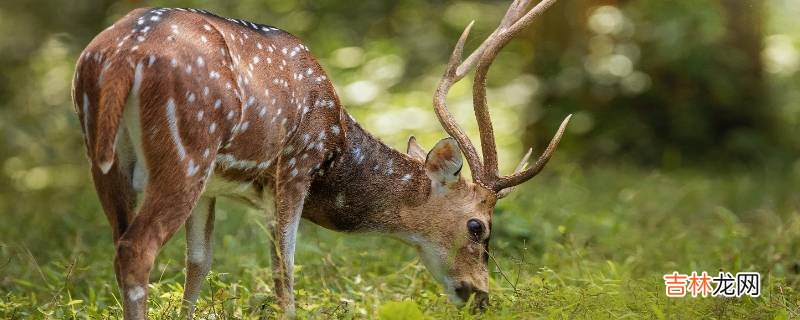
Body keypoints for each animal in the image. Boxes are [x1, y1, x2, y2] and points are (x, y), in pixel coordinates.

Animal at [70, 0, 568, 316]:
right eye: (477, 226)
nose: (482, 296)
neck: (337, 143)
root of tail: (120, 55)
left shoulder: (214, 186)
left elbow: (199, 263)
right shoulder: (294, 164)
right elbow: (284, 267)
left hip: (108, 158)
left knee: (119, 242)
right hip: (187, 147)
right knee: (137, 248)